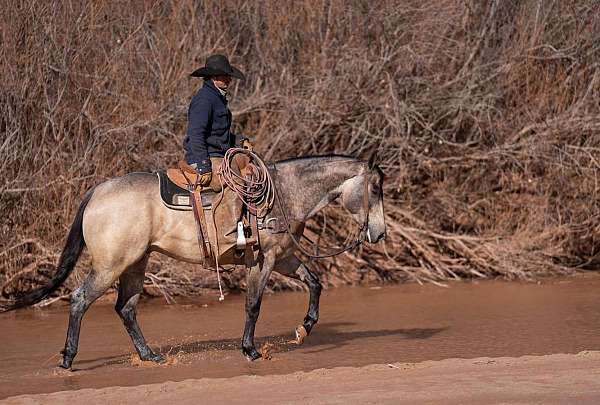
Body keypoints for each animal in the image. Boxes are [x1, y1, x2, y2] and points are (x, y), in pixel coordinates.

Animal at [2, 153, 386, 368]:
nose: (379, 234)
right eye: (376, 188)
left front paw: (303, 329)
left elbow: (315, 283)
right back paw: (68, 359)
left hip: (136, 263)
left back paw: (150, 356)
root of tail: (98, 191)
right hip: (111, 266)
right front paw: (250, 350)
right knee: (81, 299)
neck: (284, 194)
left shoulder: (283, 258)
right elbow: (253, 305)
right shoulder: (264, 262)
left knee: (126, 308)